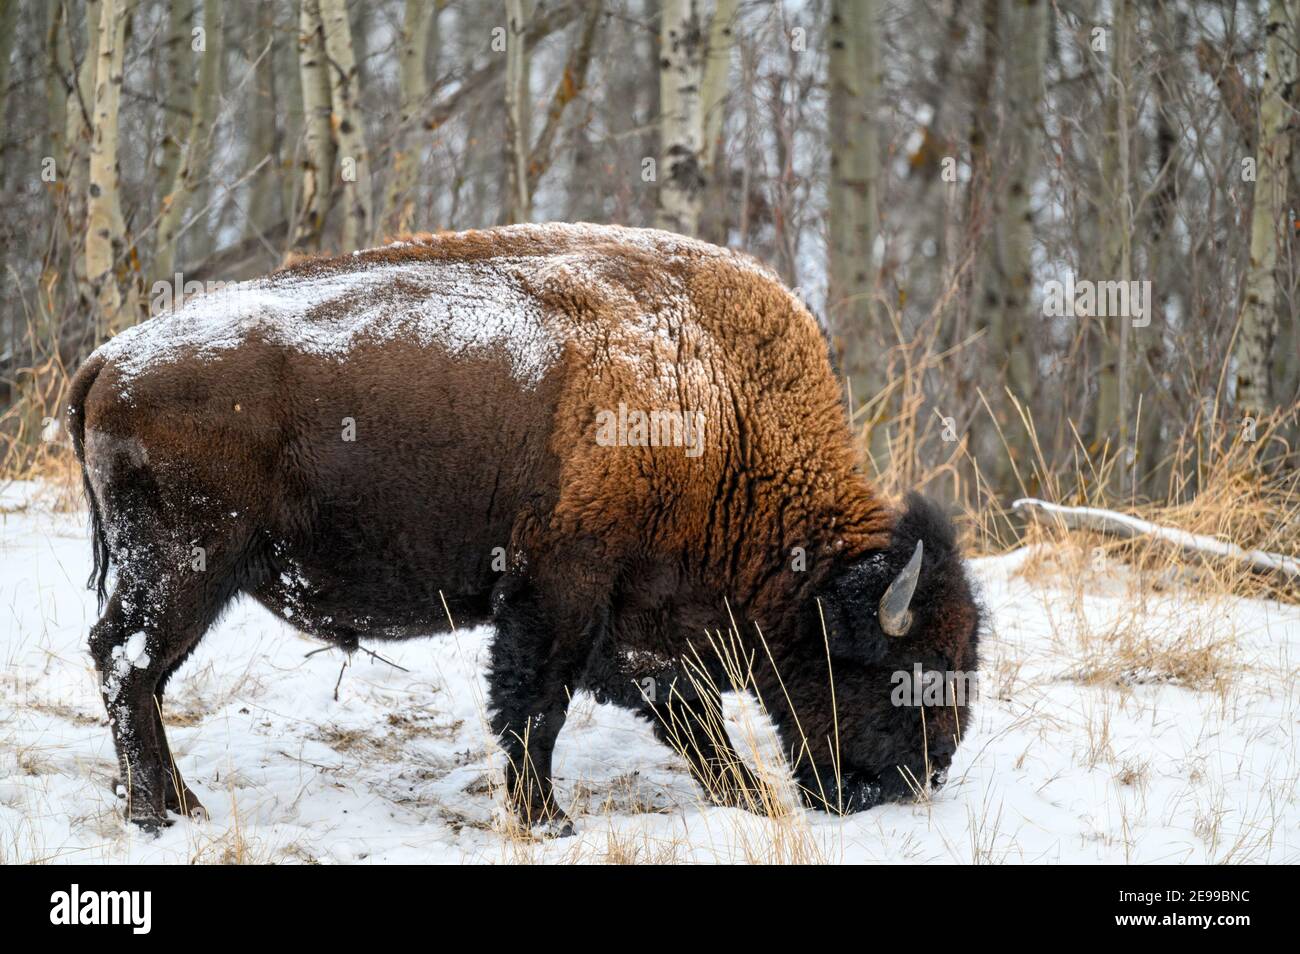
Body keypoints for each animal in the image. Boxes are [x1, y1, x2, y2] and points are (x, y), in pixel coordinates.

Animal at [65, 220, 977, 831]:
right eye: (903, 668)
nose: (922, 777)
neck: (719, 402)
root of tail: (110, 359)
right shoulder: (560, 594)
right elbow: (538, 707)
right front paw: (549, 821)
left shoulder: (634, 623)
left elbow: (684, 717)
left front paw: (748, 801)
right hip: (184, 569)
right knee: (127, 662)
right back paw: (158, 813)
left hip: (192, 577)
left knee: (140, 673)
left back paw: (180, 804)